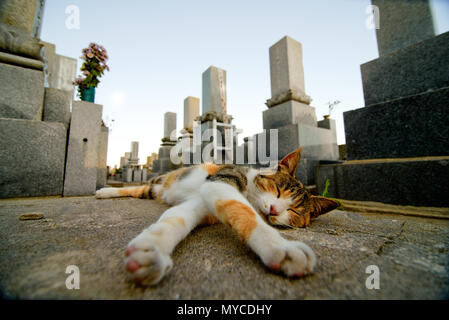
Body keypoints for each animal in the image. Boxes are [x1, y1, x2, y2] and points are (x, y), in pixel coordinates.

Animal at [96, 149, 338, 286]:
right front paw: (282, 248)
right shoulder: (221, 181)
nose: (274, 210)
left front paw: (151, 251)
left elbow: (178, 217)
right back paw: (105, 191)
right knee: (137, 187)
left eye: (295, 211)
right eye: (278, 190)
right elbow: (244, 210)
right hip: (158, 182)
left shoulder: (201, 203)